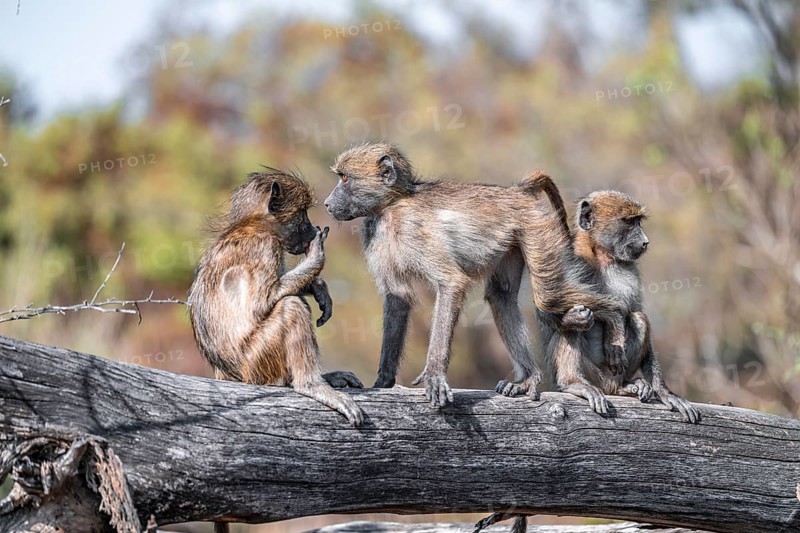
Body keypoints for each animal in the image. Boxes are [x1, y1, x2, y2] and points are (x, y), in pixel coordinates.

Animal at [188, 168, 364, 426]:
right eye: (302, 214)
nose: (311, 230)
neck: (254, 225)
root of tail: (227, 375)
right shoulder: (264, 246)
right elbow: (263, 302)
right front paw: (316, 259)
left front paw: (317, 287)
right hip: (256, 364)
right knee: (291, 307)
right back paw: (311, 385)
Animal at [323, 141, 627, 408]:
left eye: (345, 178)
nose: (327, 203)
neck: (391, 206)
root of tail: (516, 192)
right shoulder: (373, 234)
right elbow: (397, 297)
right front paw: (383, 381)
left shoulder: (413, 228)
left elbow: (451, 283)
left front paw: (435, 376)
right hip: (513, 240)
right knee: (501, 296)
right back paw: (526, 378)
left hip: (536, 227)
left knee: (548, 294)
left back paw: (613, 317)